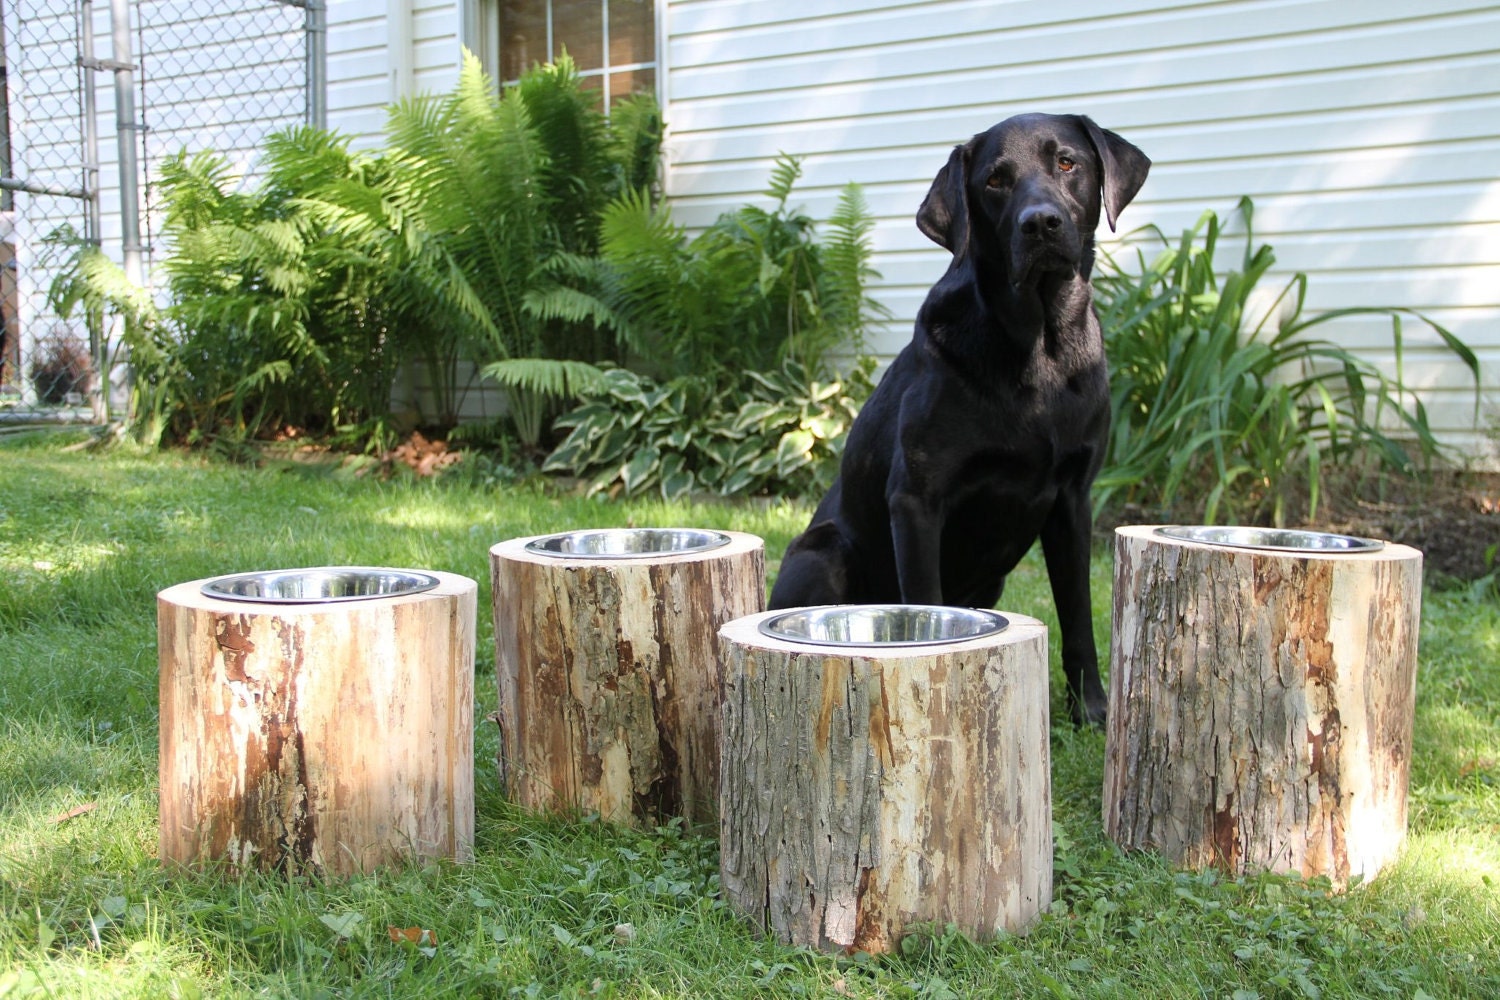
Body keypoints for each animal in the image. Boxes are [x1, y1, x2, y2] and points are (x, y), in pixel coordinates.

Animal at [768, 113, 1152, 728]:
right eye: (995, 179)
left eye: (1067, 162)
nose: (1040, 223)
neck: (1038, 345)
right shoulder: (916, 499)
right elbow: (925, 603)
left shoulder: (1074, 498)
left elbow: (1078, 618)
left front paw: (1092, 710)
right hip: (823, 552)